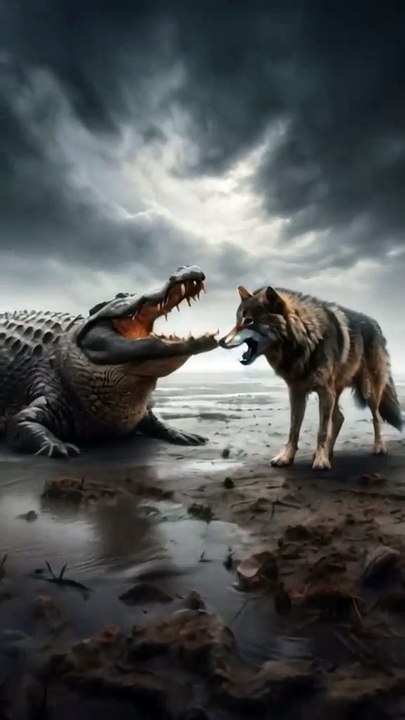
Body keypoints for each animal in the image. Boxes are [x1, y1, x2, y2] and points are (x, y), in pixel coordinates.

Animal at [219, 285, 403, 470]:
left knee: (376, 417)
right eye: (237, 320)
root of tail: (376, 324)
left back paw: (378, 447)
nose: (220, 341)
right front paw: (286, 457)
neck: (306, 339)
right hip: (337, 392)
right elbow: (294, 430)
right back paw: (329, 451)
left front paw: (321, 460)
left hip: (367, 391)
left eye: (248, 321)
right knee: (339, 418)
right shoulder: (296, 393)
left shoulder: (325, 392)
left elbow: (322, 430)